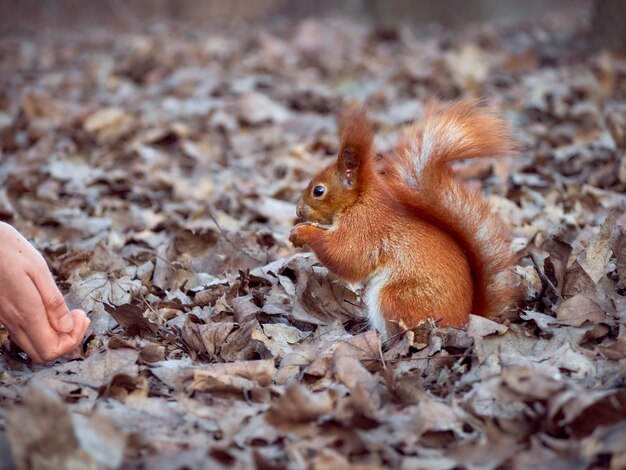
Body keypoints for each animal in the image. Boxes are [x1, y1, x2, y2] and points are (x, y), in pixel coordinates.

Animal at [290, 99, 516, 338]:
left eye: (319, 191)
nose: (298, 212)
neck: (359, 201)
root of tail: (464, 320)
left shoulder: (365, 227)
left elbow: (346, 257)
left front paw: (303, 232)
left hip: (396, 299)